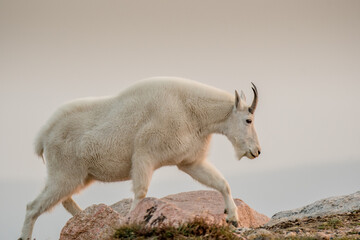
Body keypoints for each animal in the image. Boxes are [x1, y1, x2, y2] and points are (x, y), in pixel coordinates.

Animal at [19, 78, 262, 239]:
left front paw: (233, 218)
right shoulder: (145, 155)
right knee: (33, 206)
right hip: (65, 172)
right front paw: (129, 223)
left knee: (65, 200)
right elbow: (141, 192)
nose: (257, 151)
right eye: (248, 120)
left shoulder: (189, 162)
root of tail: (43, 136)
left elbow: (221, 183)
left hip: (80, 175)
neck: (192, 111)